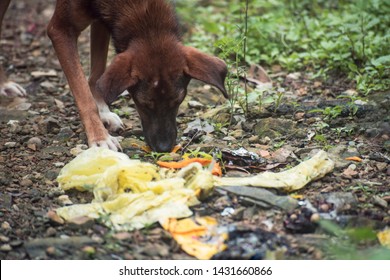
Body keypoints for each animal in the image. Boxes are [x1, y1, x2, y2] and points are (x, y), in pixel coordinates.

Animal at [0, 0, 227, 152]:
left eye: (178, 101)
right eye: (143, 104)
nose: (164, 148)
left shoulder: (103, 19)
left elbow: (97, 76)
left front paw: (104, 112)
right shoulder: (60, 30)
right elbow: (83, 94)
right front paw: (99, 136)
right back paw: (4, 84)